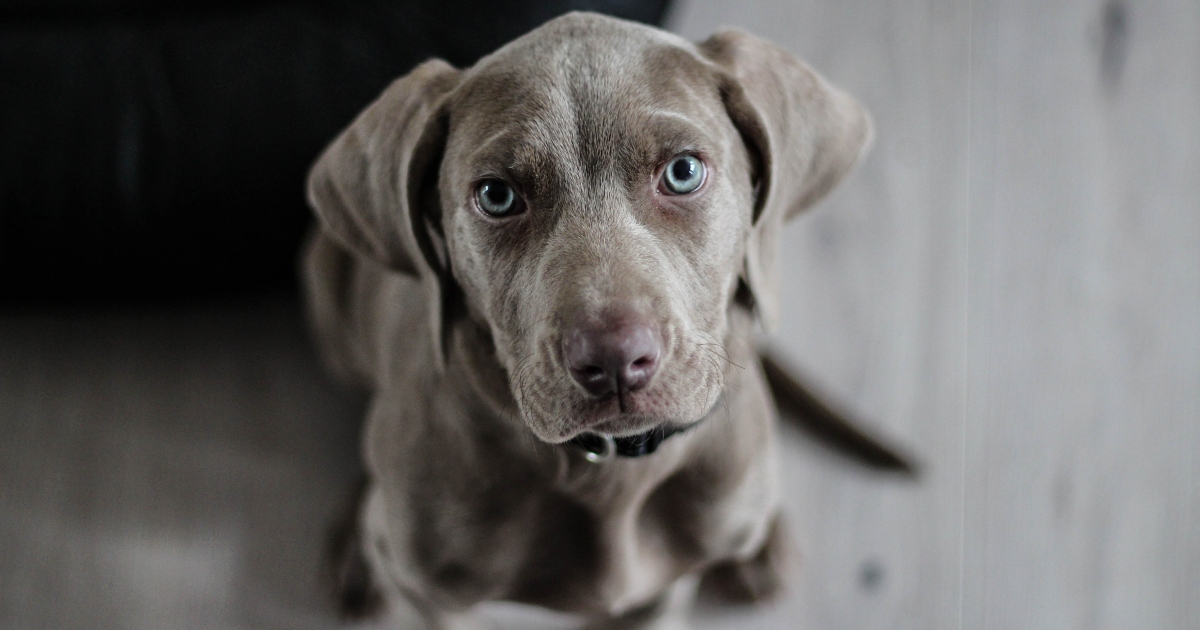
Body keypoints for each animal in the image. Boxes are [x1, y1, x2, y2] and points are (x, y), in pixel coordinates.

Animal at [302, 11, 873, 628]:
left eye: (683, 171)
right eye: (497, 195)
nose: (615, 360)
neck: (609, 471)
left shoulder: (662, 592)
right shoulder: (432, 600)